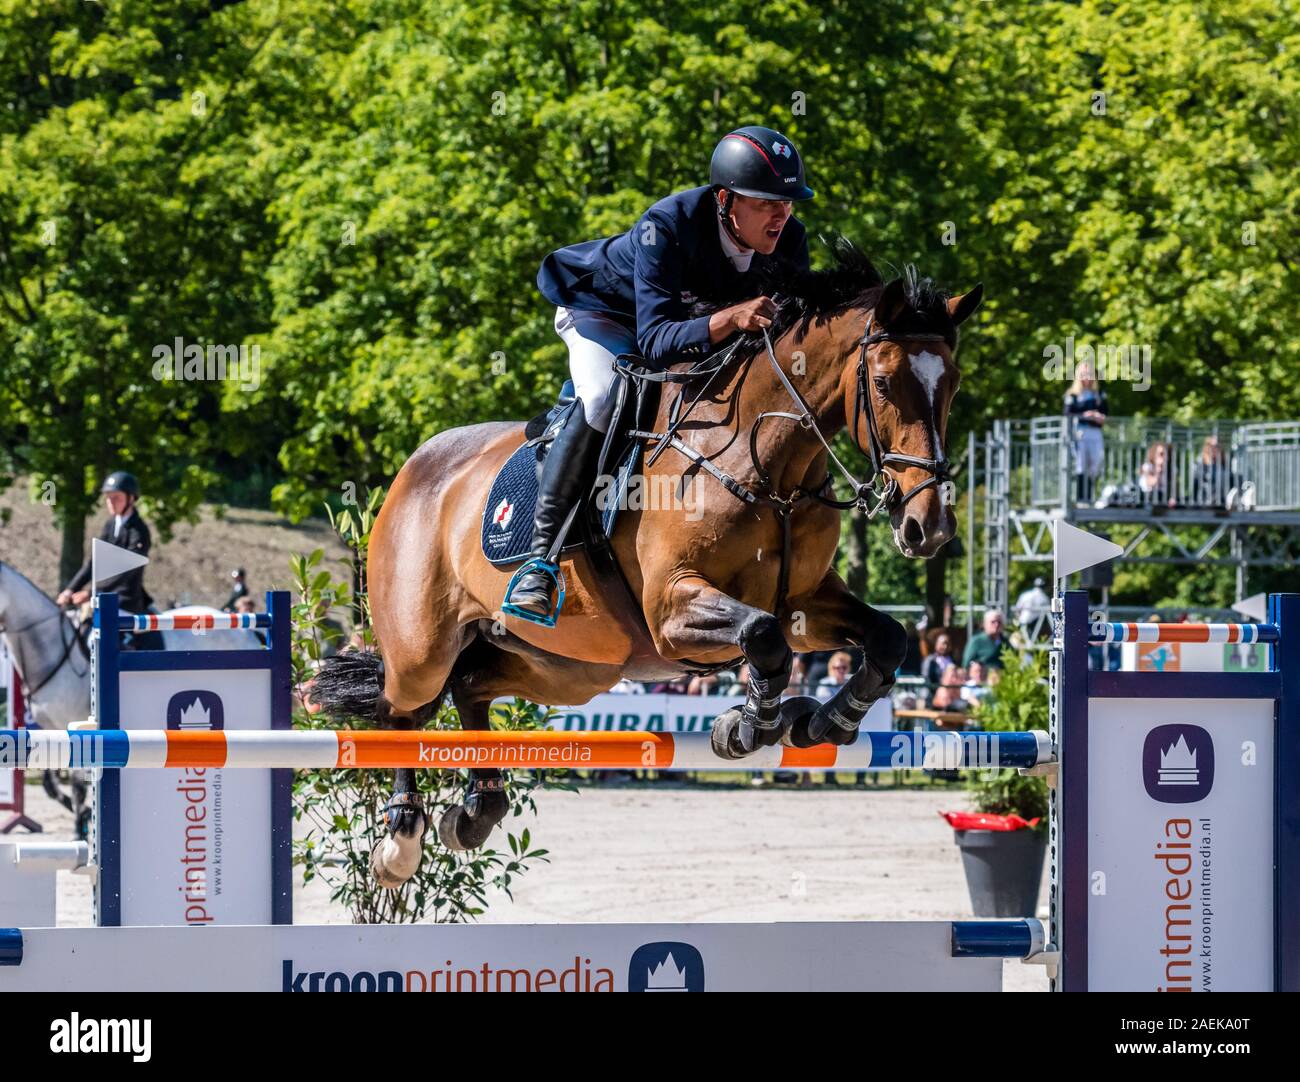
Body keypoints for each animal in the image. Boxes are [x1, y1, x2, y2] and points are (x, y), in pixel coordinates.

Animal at [314, 249, 977, 889]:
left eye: (952, 386)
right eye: (885, 383)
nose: (930, 526)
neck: (763, 460)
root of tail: (412, 471)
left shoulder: (805, 603)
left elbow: (885, 638)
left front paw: (822, 721)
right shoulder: (672, 609)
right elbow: (762, 639)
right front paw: (749, 725)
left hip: (565, 667)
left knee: (470, 686)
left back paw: (478, 809)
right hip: (423, 647)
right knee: (404, 708)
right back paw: (400, 841)